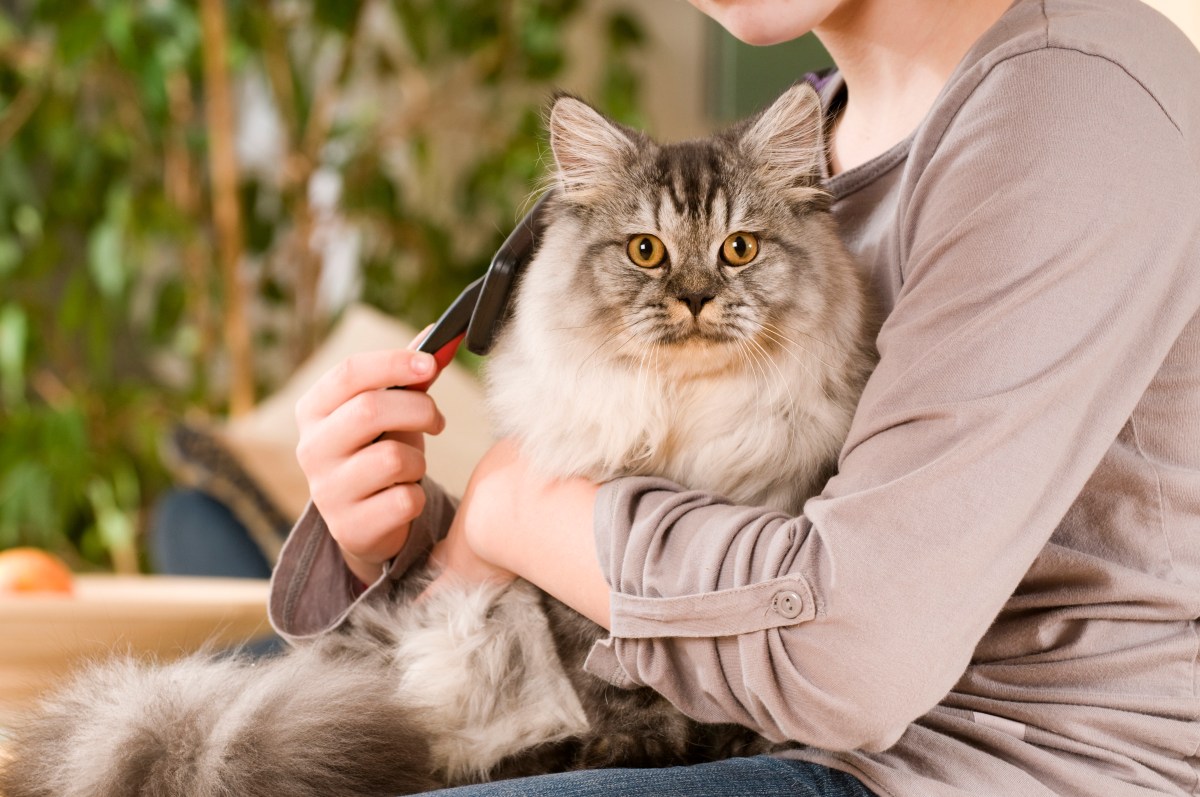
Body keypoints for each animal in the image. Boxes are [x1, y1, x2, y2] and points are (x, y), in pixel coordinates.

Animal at [4, 82, 878, 797]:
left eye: (739, 248)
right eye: (645, 251)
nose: (695, 298)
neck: (687, 415)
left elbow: (719, 678)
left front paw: (731, 737)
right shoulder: (573, 594)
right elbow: (620, 683)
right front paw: (642, 745)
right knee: (452, 751)